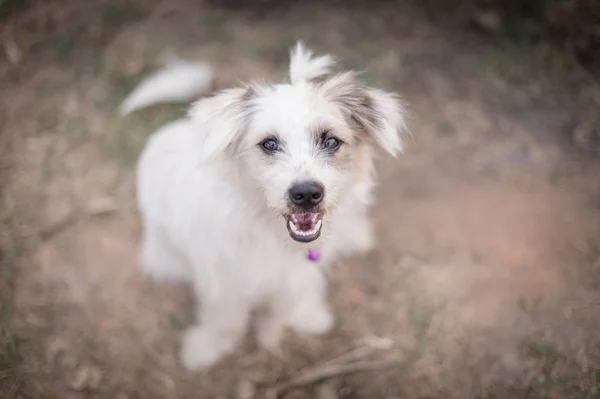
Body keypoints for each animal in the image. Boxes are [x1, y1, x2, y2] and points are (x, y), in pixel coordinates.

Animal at [128, 43, 406, 372]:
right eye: (269, 144)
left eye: (330, 141)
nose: (306, 193)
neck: (272, 234)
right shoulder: (223, 281)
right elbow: (226, 320)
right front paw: (206, 348)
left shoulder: (294, 276)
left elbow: (283, 307)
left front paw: (277, 331)